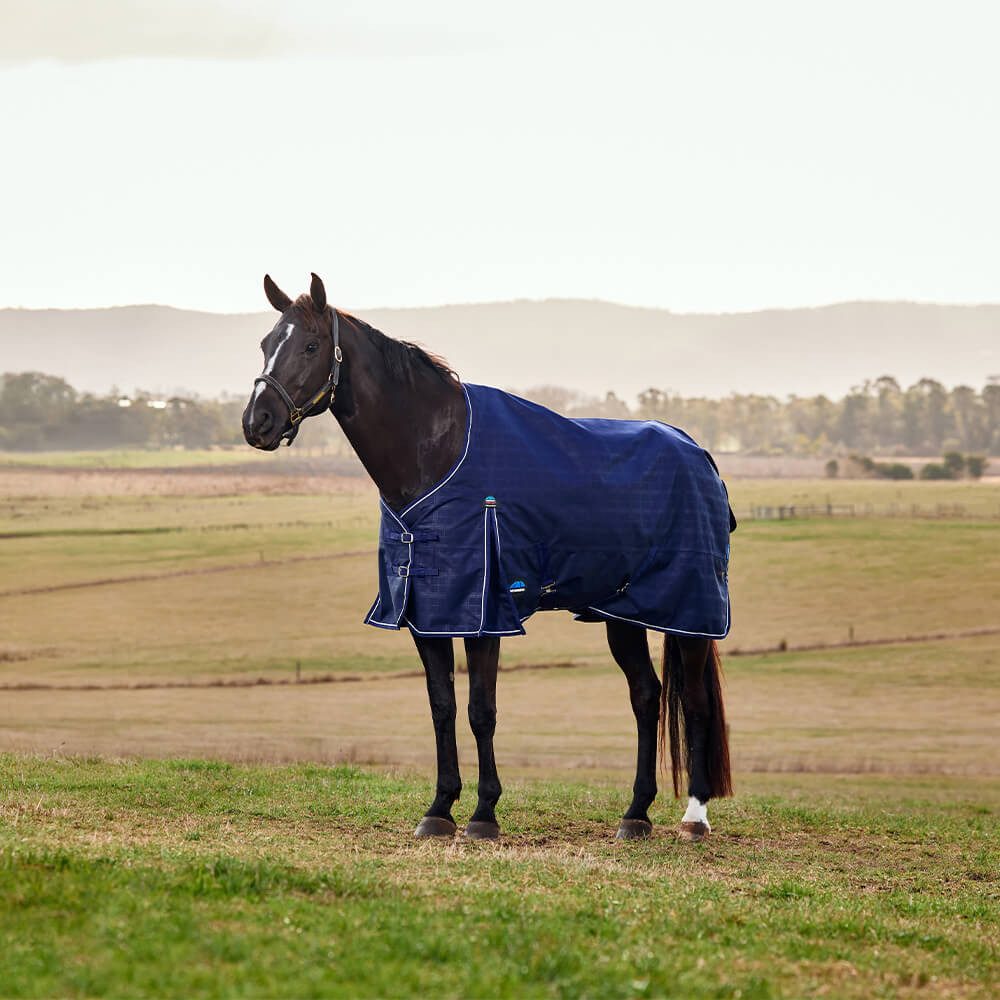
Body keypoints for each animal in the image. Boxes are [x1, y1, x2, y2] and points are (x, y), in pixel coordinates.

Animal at [242, 273, 733, 842]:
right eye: (265, 343)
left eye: (311, 345)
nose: (257, 422)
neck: (435, 452)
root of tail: (698, 454)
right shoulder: (426, 613)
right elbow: (442, 706)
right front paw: (439, 809)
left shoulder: (483, 613)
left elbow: (481, 710)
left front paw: (483, 814)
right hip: (623, 613)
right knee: (646, 697)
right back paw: (635, 814)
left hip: (690, 612)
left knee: (694, 702)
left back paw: (694, 817)